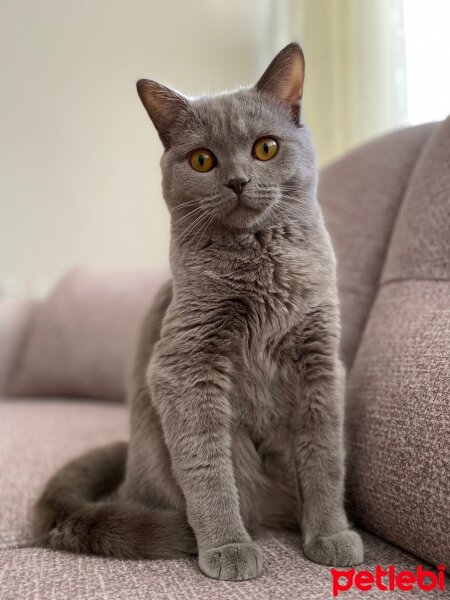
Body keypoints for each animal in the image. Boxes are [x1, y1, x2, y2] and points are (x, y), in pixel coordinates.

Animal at [35, 42, 366, 580]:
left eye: (266, 148)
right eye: (202, 159)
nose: (237, 181)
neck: (260, 266)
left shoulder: (320, 360)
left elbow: (324, 457)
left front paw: (331, 536)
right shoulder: (186, 363)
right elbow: (208, 466)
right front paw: (229, 546)